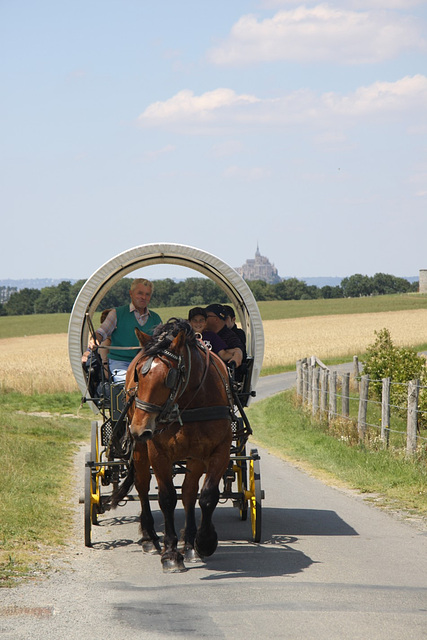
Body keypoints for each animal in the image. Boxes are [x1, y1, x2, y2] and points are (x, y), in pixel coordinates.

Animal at [112, 318, 234, 572]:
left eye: (169, 376)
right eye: (139, 375)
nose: (139, 429)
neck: (189, 403)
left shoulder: (218, 450)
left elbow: (207, 496)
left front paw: (203, 542)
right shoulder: (158, 453)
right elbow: (166, 498)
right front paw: (170, 553)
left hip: (193, 457)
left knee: (188, 493)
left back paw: (189, 544)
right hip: (140, 450)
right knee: (142, 486)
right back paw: (149, 538)